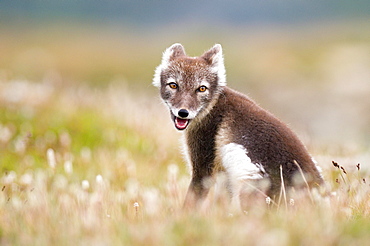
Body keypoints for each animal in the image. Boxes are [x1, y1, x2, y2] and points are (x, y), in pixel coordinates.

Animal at [152, 42, 324, 208]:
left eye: (201, 88)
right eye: (173, 85)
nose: (183, 112)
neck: (212, 106)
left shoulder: (203, 165)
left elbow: (191, 201)